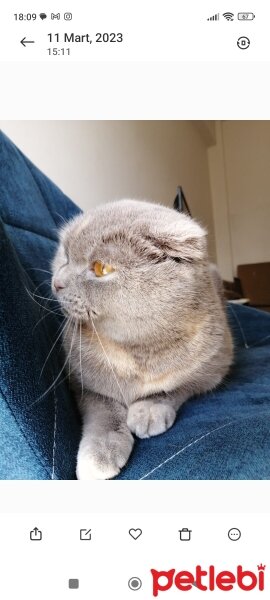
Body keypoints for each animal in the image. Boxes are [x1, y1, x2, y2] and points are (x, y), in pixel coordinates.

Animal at [51, 199, 233, 480]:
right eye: (66, 257)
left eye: (101, 268)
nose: (56, 282)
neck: (137, 353)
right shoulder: (81, 379)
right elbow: (104, 408)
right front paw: (100, 454)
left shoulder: (214, 366)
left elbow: (175, 387)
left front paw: (148, 411)